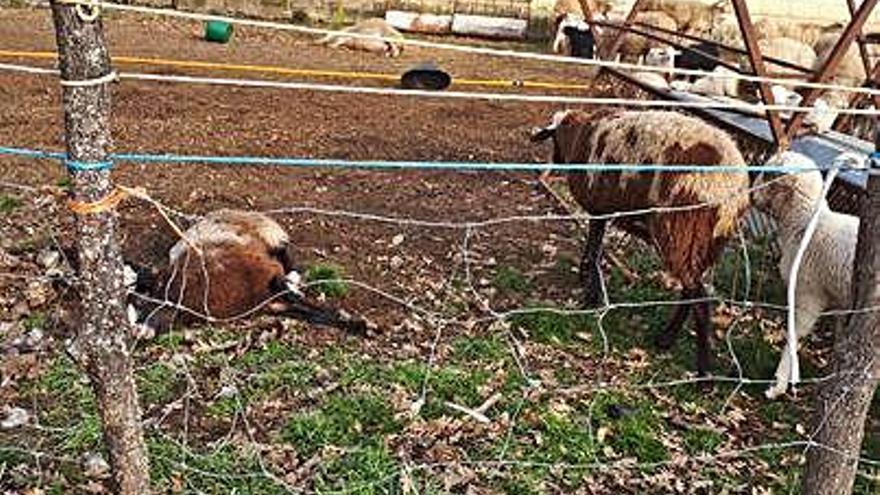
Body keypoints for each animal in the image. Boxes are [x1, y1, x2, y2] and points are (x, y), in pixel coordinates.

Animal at [528, 109, 748, 380]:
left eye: (553, 139)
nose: (557, 159)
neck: (577, 136)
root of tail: (732, 189)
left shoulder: (598, 208)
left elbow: (595, 251)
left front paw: (590, 294)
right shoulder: (602, 211)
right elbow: (593, 247)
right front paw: (586, 279)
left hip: (681, 232)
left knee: (699, 299)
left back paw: (702, 373)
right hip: (706, 243)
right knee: (691, 291)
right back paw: (665, 339)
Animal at [752, 153, 864, 402]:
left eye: (769, 175)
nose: (751, 195)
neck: (805, 221)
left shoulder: (808, 292)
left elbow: (795, 333)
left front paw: (779, 384)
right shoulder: (841, 300)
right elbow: (841, 337)